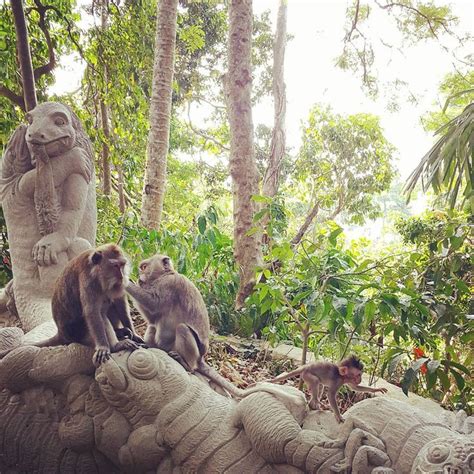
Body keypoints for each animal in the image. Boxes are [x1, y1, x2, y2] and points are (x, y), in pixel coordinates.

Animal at [0, 101, 96, 330]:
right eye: (31, 120)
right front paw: (72, 159)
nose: (31, 134)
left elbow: (72, 209)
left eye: (59, 121)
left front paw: (52, 241)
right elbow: (43, 174)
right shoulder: (15, 186)